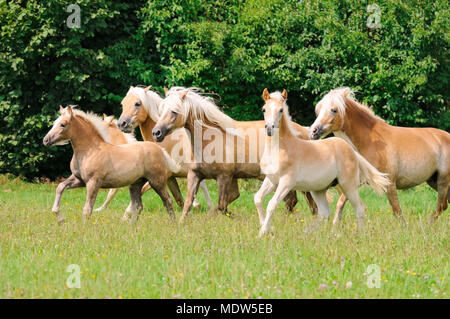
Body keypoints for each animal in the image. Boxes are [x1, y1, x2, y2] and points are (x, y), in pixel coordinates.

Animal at [43, 106, 180, 224]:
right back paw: (131, 227)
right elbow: (60, 187)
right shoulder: (79, 179)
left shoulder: (93, 182)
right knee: (138, 206)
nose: (46, 140)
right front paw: (59, 218)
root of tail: (160, 150)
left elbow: (87, 209)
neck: (90, 150)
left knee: (168, 200)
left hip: (156, 181)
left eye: (63, 124)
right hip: (136, 184)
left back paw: (173, 224)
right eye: (54, 123)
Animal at [153, 86, 318, 224]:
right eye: (161, 111)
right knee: (297, 201)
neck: (210, 140)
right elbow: (189, 203)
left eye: (174, 112)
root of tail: (304, 132)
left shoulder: (224, 177)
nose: (156, 133)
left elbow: (222, 205)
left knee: (301, 200)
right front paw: (181, 224)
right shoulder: (195, 174)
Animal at [255, 90, 392, 238]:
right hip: (318, 189)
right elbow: (258, 198)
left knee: (359, 208)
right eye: (264, 109)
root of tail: (352, 151)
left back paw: (359, 235)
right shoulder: (271, 180)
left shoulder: (286, 182)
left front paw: (262, 233)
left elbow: (271, 204)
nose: (269, 129)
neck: (280, 149)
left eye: (280, 110)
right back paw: (308, 233)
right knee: (325, 212)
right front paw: (266, 228)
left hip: (348, 185)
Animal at [310, 87, 450, 222]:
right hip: (433, 180)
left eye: (333, 110)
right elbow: (340, 204)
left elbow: (397, 211)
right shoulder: (355, 181)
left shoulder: (389, 183)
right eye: (318, 110)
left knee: (441, 206)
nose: (313, 132)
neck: (370, 142)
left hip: (443, 180)